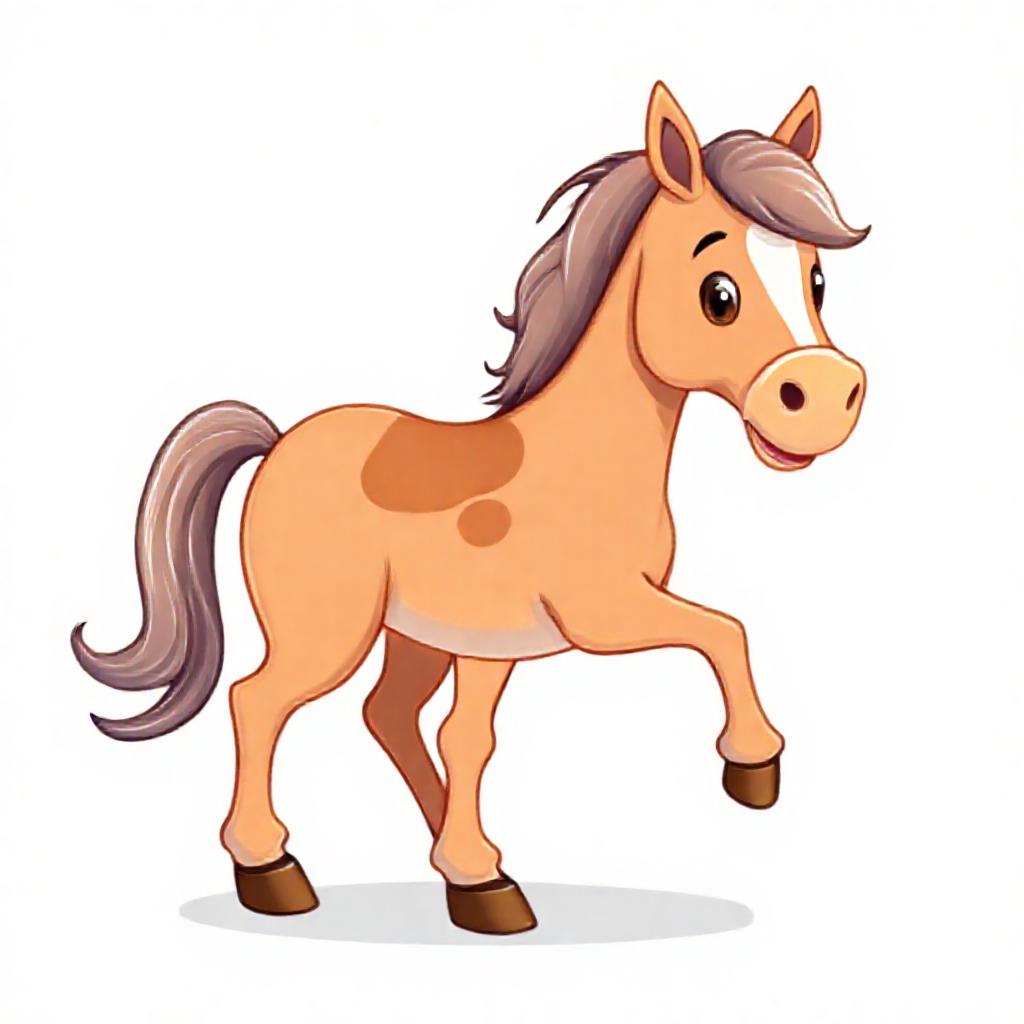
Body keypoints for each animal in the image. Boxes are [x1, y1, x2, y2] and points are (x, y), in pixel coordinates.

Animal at [72, 81, 868, 935]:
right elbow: (724, 631)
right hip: (327, 635)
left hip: (412, 636)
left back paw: (454, 849)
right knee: (257, 703)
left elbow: (469, 738)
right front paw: (754, 767)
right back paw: (272, 871)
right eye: (718, 293)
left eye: (817, 282)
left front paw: (478, 883)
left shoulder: (491, 644)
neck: (587, 457)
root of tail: (279, 442)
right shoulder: (603, 614)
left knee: (386, 715)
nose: (823, 401)